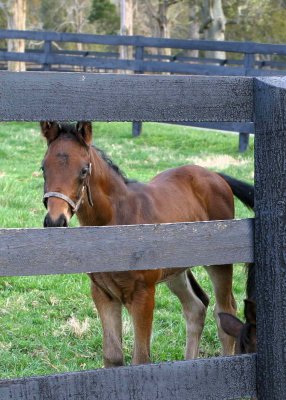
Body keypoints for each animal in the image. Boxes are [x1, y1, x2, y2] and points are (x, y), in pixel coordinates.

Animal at [39, 121, 252, 366]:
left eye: (84, 170)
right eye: (43, 168)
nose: (55, 220)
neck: (117, 220)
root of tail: (215, 175)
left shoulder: (143, 294)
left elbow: (140, 359)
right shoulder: (102, 293)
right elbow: (112, 356)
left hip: (219, 264)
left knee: (225, 312)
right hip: (175, 271)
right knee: (195, 308)